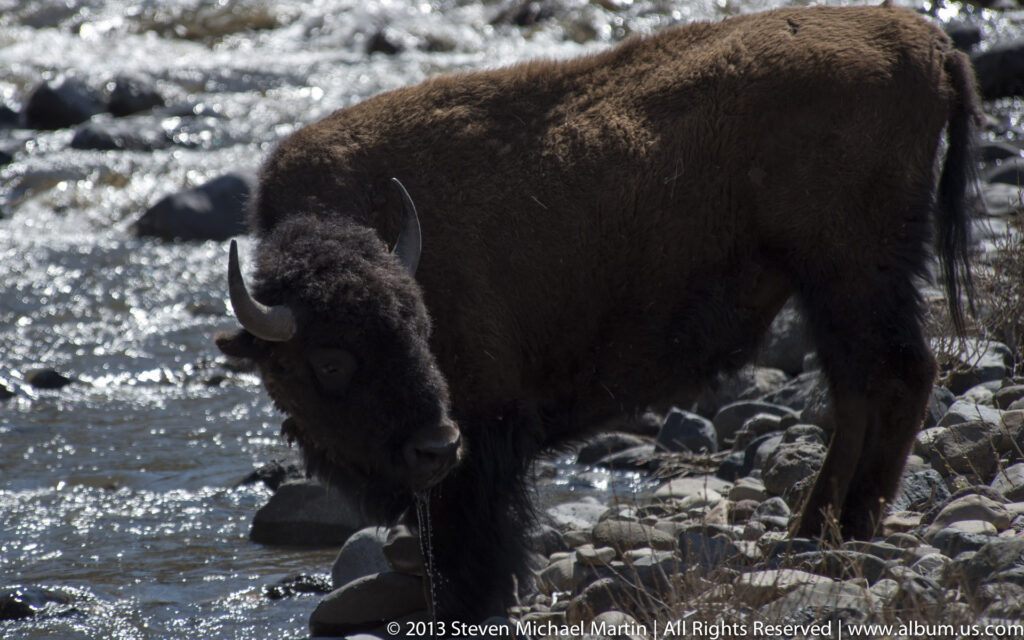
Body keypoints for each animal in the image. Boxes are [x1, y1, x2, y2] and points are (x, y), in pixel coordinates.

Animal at [215, 4, 980, 625]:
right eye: (329, 359)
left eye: (420, 329)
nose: (435, 444)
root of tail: (927, 40)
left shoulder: (485, 442)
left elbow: (482, 539)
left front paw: (473, 602)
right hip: (834, 286)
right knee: (860, 392)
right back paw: (814, 529)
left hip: (850, 275)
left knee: (894, 378)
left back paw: (843, 527)